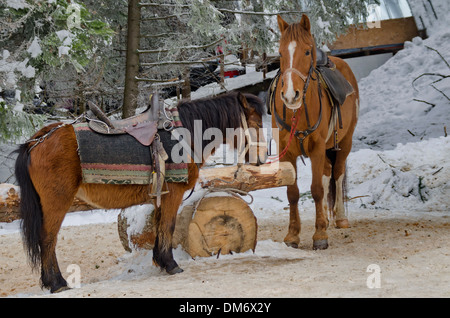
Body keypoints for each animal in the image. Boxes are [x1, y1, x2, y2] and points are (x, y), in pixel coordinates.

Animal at [15, 92, 266, 294]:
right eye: (255, 122)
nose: (262, 158)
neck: (184, 133)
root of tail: (38, 140)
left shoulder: (160, 196)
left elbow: (158, 226)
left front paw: (160, 261)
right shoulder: (173, 194)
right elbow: (168, 226)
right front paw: (171, 265)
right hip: (56, 202)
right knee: (47, 239)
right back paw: (57, 283)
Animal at [270, 14, 358, 248]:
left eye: (307, 52)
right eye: (280, 53)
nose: (290, 95)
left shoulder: (318, 149)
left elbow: (317, 190)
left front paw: (319, 235)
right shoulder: (286, 152)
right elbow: (292, 193)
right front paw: (292, 234)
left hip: (345, 143)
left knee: (337, 173)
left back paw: (339, 217)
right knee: (327, 173)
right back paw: (325, 217)